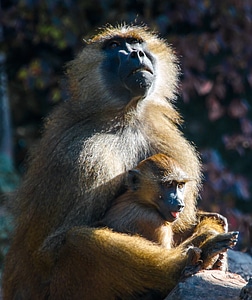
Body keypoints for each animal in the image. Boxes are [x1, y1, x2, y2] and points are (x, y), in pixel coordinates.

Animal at [2, 24, 238, 300]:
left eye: (136, 43)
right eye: (115, 46)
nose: (137, 54)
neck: (125, 117)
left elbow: (183, 223)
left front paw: (210, 227)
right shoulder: (85, 156)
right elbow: (53, 247)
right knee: (79, 241)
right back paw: (186, 263)